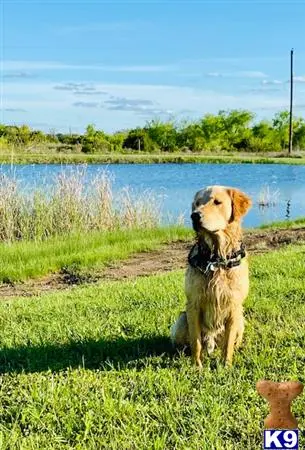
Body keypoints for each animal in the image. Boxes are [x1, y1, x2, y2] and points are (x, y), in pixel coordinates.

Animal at [170, 185, 251, 368]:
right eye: (197, 203)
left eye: (217, 202)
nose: (195, 215)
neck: (216, 259)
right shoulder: (193, 305)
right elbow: (196, 342)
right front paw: (197, 366)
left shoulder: (234, 307)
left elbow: (228, 344)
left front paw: (226, 366)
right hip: (181, 320)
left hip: (241, 321)